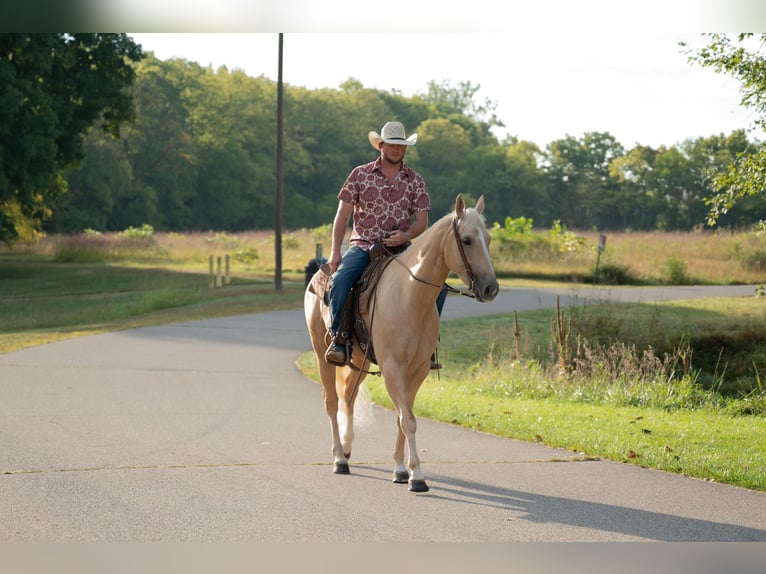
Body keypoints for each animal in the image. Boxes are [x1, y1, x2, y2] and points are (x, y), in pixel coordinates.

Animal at [306, 196, 504, 492]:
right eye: (467, 240)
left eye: (488, 239)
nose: (491, 289)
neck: (410, 296)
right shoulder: (393, 369)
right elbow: (407, 420)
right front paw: (417, 477)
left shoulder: (418, 370)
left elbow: (404, 417)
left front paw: (400, 470)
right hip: (322, 356)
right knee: (331, 402)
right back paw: (339, 458)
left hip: (359, 361)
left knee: (349, 397)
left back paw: (348, 448)